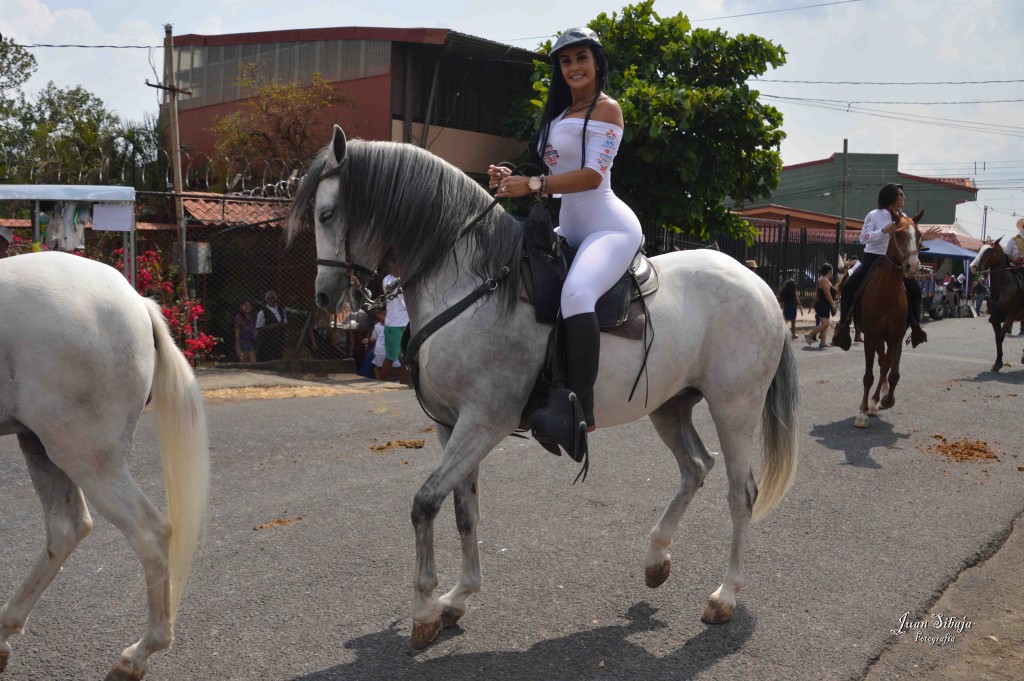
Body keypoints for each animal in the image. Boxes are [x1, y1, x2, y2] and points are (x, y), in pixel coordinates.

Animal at [0, 250, 207, 679]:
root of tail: (137, 303)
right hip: (41, 444)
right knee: (66, 528)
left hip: (85, 455)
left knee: (149, 533)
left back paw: (137, 656)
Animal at [288, 124, 798, 651]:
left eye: (327, 213)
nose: (325, 296)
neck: (471, 282)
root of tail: (760, 287)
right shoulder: (452, 426)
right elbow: (464, 509)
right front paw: (457, 597)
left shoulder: (483, 423)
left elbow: (425, 504)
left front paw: (425, 609)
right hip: (669, 406)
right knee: (696, 467)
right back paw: (656, 559)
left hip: (734, 408)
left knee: (741, 493)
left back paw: (725, 596)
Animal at [851, 209, 925, 428]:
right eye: (898, 234)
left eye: (920, 236)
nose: (912, 266)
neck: (886, 293)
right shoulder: (870, 337)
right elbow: (868, 376)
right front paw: (862, 414)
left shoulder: (896, 337)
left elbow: (893, 373)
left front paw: (886, 400)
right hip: (876, 338)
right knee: (881, 363)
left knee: (885, 365)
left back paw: (876, 401)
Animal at [966, 235, 1024, 372]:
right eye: (979, 249)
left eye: (989, 250)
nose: (973, 266)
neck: (1003, 287)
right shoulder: (995, 318)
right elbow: (998, 338)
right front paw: (998, 362)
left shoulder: (1011, 316)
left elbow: (1001, 335)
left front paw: (999, 362)